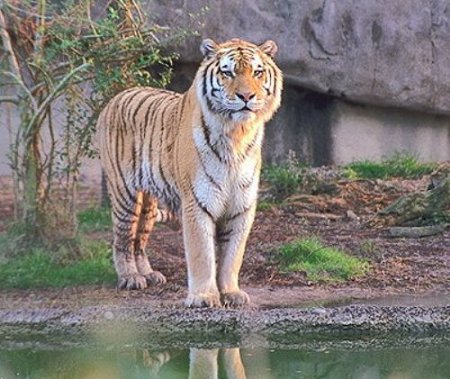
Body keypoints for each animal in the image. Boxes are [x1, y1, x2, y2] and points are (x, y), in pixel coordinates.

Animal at [96, 37, 282, 308]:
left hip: (148, 201)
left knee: (139, 239)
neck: (237, 133)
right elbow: (202, 253)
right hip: (125, 194)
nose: (246, 96)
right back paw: (131, 278)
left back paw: (149, 274)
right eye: (228, 72)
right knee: (122, 239)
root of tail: (115, 97)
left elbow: (232, 256)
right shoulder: (197, 201)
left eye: (257, 72)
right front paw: (204, 297)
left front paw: (232, 293)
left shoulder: (242, 206)